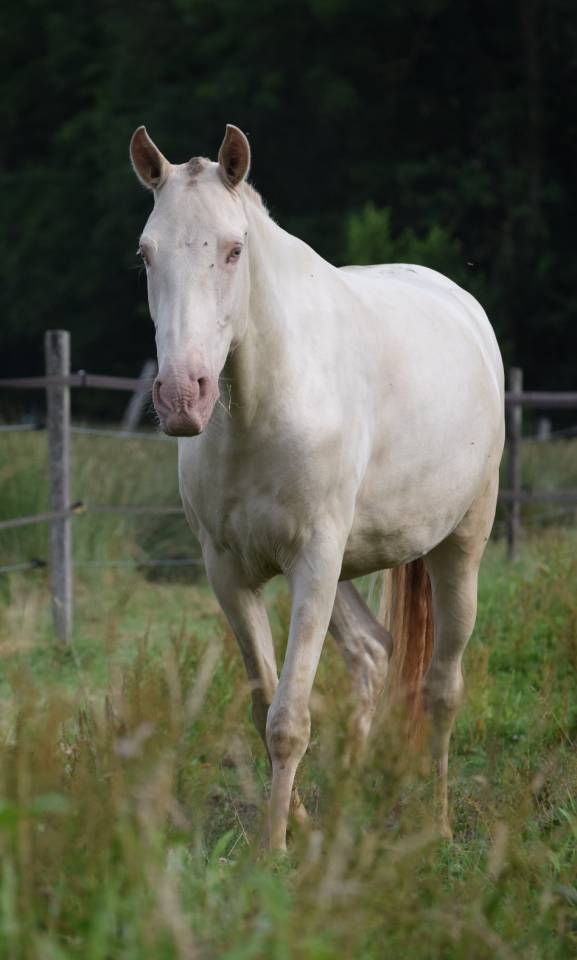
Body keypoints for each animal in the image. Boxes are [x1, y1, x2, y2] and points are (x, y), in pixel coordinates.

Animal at [129, 123, 505, 851]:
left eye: (233, 249)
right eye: (145, 254)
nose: (182, 396)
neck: (263, 405)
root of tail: (463, 305)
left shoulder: (311, 562)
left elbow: (288, 718)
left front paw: (274, 850)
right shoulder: (230, 572)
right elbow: (263, 704)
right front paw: (296, 825)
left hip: (458, 548)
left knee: (442, 686)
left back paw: (439, 823)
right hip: (346, 570)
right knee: (371, 657)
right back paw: (346, 813)